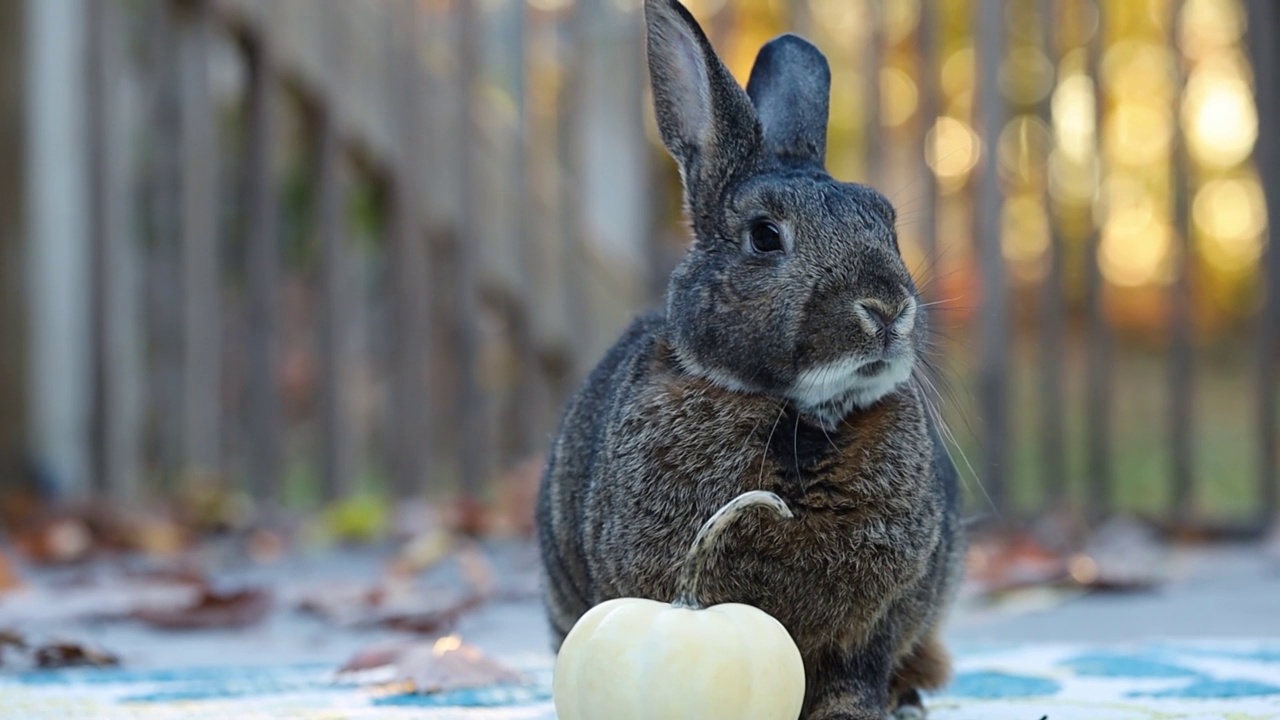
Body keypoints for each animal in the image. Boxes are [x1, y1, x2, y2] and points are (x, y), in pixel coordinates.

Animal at [535, 1, 962, 717]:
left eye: (888, 223)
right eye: (765, 236)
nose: (886, 308)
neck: (803, 416)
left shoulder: (875, 625)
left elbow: (857, 674)